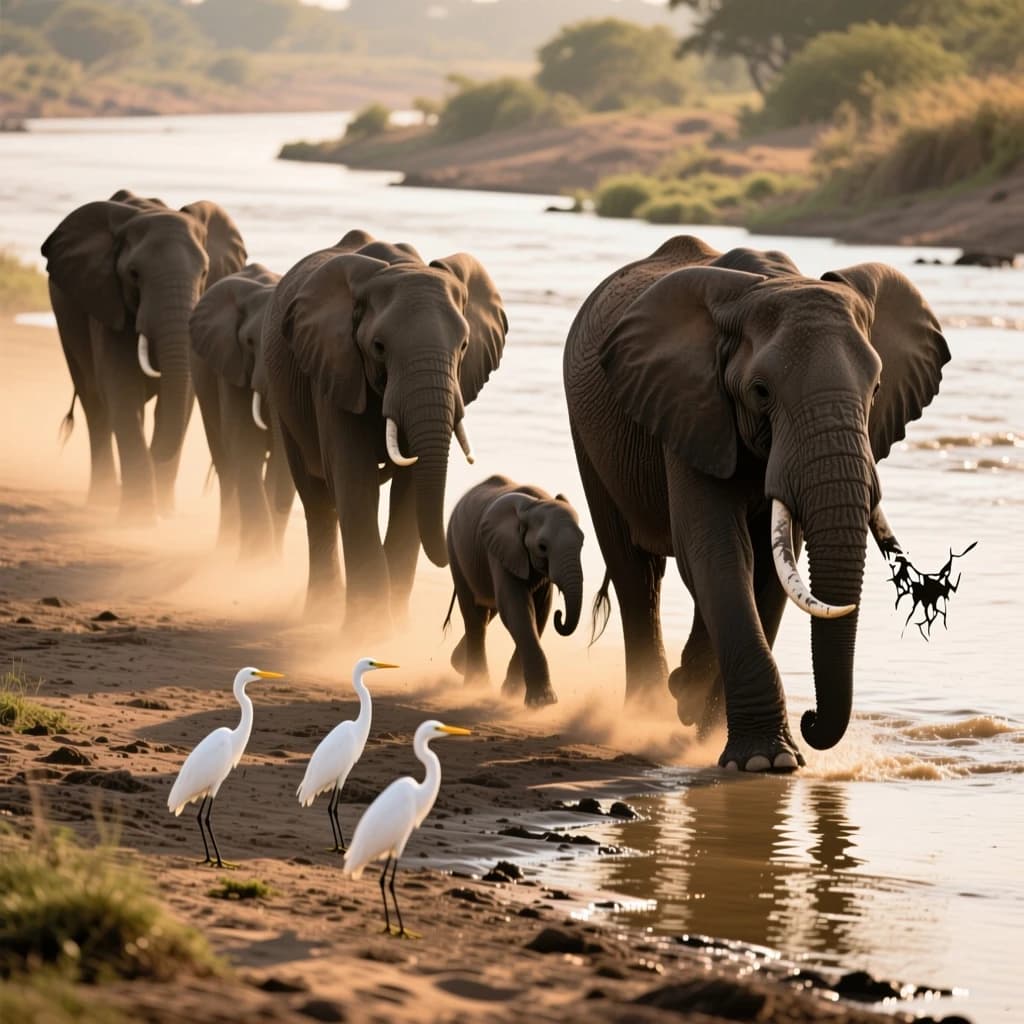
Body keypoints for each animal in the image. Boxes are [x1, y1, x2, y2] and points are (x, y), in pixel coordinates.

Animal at [42, 189, 247, 520]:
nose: (154, 456)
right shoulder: (107, 300)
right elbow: (122, 389)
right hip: (66, 319)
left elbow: (181, 400)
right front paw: (138, 519)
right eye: (134, 274)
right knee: (94, 402)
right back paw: (102, 500)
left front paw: (163, 513)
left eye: (205, 272)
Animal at [188, 263, 295, 557]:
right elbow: (245, 442)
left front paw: (268, 559)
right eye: (249, 342)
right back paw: (226, 546)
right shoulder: (230, 362)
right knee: (226, 464)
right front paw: (254, 561)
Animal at [262, 229, 507, 634]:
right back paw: (320, 612)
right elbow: (355, 481)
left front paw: (393, 631)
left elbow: (411, 492)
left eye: (464, 346)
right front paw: (367, 634)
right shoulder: (336, 367)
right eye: (378, 347)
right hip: (284, 399)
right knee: (316, 498)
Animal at [444, 474, 585, 706]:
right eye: (542, 547)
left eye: (582, 543)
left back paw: (459, 665)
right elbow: (518, 609)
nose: (561, 616)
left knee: (489, 610)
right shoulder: (502, 549)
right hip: (455, 547)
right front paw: (543, 702)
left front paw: (512, 695)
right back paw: (476, 686)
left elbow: (539, 613)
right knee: (475, 615)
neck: (537, 503)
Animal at [563, 235, 949, 771]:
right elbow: (716, 550)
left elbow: (768, 566)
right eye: (761, 392)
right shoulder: (692, 403)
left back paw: (683, 698)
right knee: (635, 572)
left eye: (876, 389)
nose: (811, 719)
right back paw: (648, 712)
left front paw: (717, 735)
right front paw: (766, 763)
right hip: (590, 435)